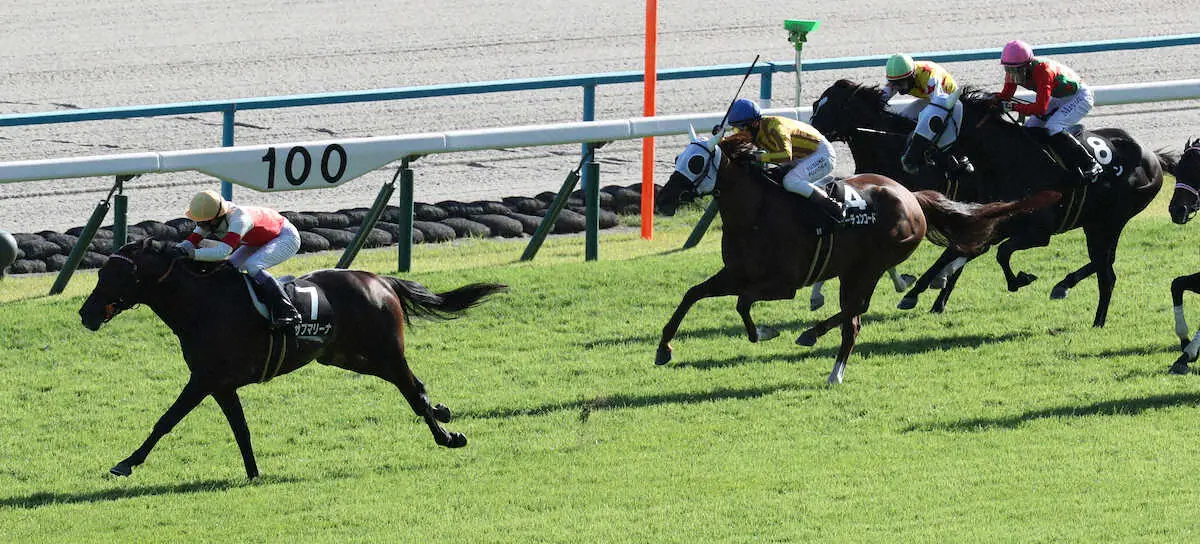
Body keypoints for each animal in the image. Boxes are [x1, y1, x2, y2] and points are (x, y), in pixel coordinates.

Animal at [77, 240, 504, 477]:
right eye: (99, 275)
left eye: (114, 276)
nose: (86, 313)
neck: (203, 303)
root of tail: (379, 280)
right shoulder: (220, 384)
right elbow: (241, 430)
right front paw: (253, 473)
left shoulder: (204, 379)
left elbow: (165, 420)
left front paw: (126, 463)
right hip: (345, 356)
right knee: (415, 387)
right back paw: (444, 412)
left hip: (385, 350)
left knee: (412, 390)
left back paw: (448, 437)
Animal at [652, 129, 1046, 384]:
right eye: (679, 157)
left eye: (697, 161)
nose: (663, 198)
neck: (756, 214)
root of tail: (912, 197)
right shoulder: (736, 273)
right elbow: (692, 294)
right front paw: (664, 349)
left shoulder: (783, 284)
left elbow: (742, 304)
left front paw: (762, 331)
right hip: (852, 269)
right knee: (854, 314)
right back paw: (822, 350)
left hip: (868, 267)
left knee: (856, 314)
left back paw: (824, 355)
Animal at [811, 79, 1166, 326]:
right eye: (815, 104)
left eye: (826, 108)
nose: (809, 135)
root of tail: (1153, 156)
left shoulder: (1036, 231)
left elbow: (997, 253)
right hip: (1097, 223)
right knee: (1102, 263)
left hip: (1110, 221)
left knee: (1105, 266)